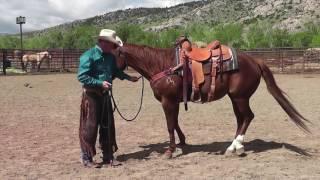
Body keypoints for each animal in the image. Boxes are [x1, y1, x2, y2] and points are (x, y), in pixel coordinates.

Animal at [112, 43, 310, 158]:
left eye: (110, 55)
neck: (162, 65)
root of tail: (255, 60)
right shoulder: (174, 102)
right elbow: (175, 123)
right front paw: (182, 142)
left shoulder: (168, 101)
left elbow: (169, 125)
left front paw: (169, 151)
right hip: (235, 98)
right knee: (241, 119)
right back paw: (234, 147)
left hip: (240, 97)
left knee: (248, 117)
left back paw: (236, 147)